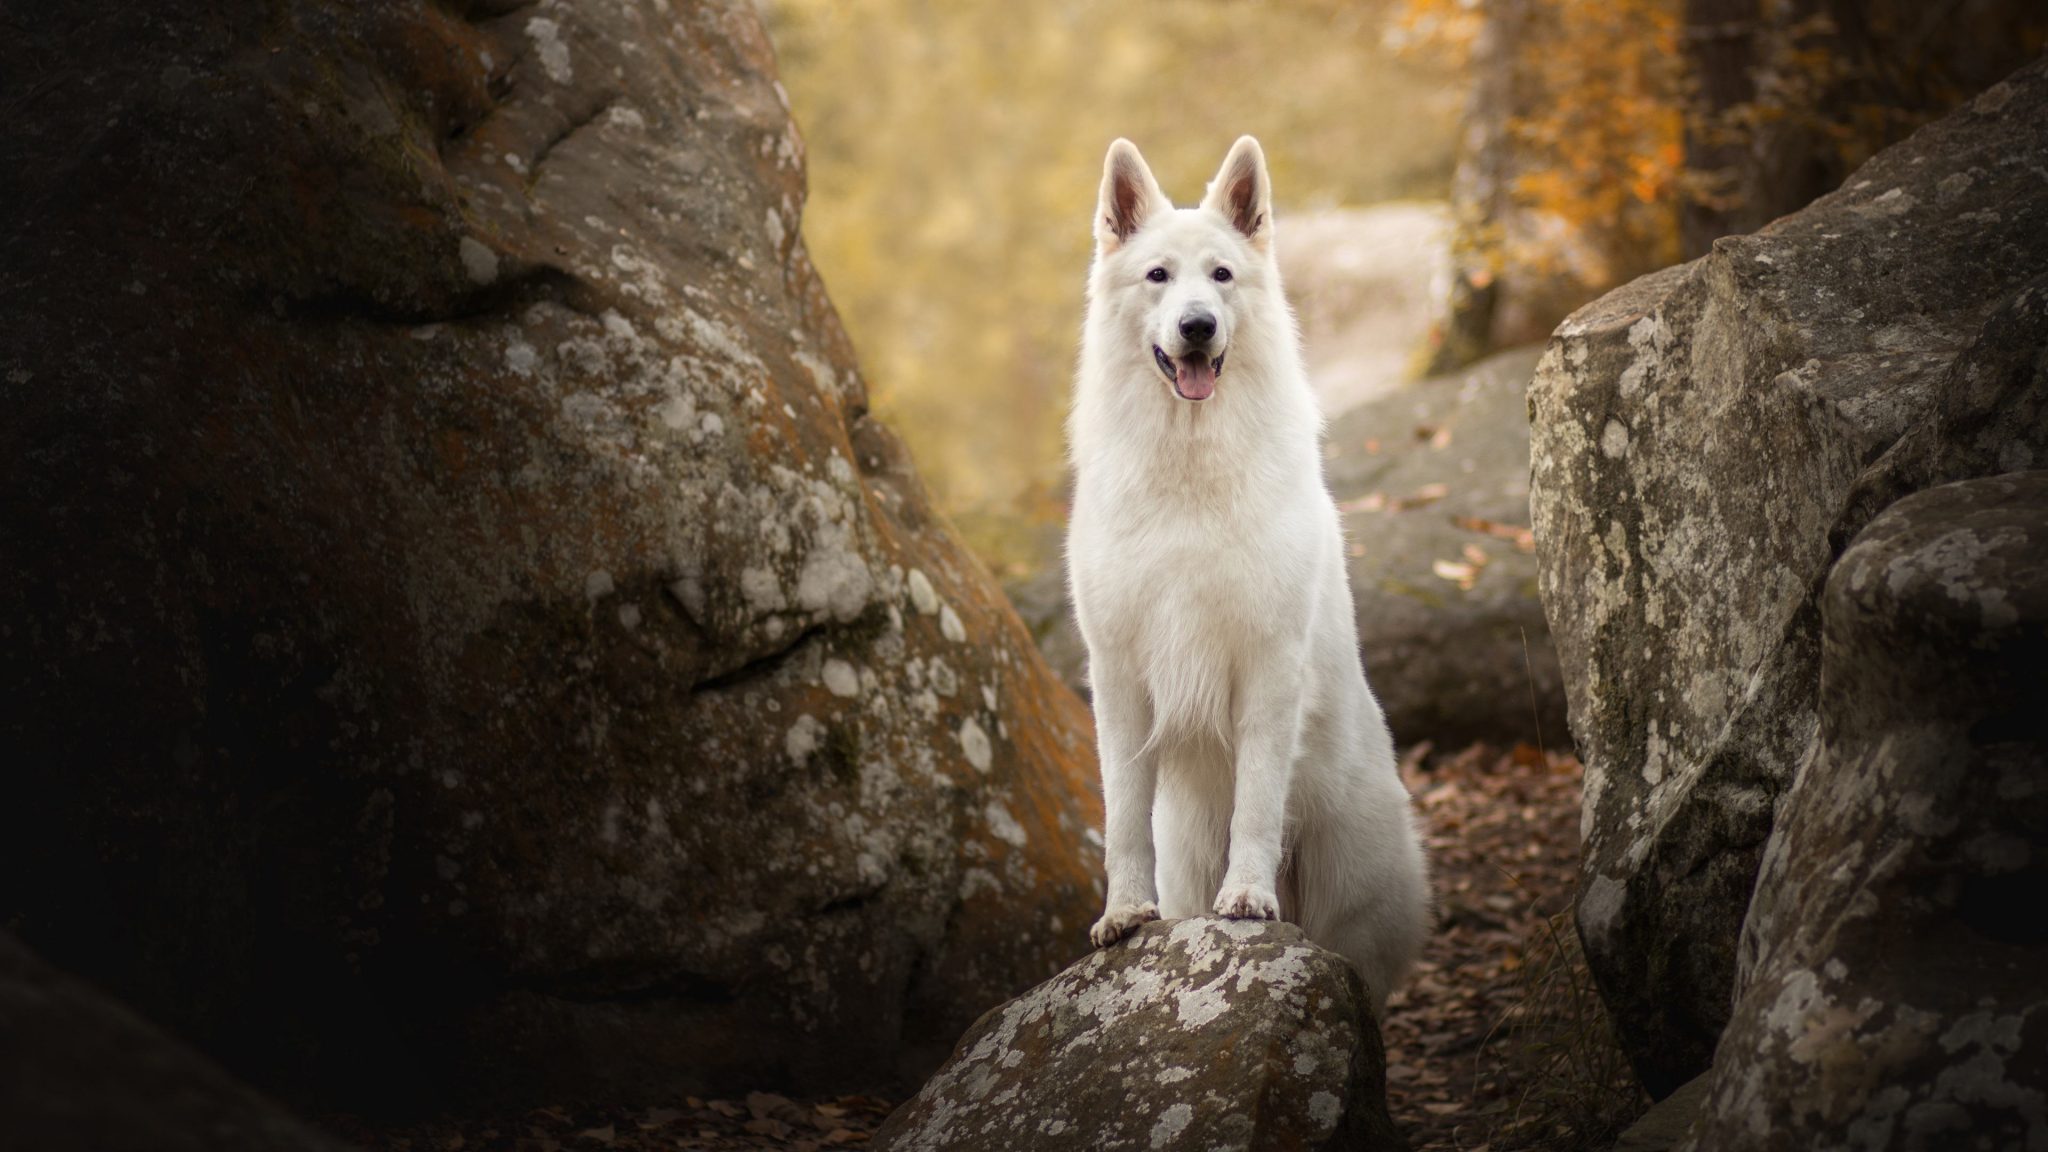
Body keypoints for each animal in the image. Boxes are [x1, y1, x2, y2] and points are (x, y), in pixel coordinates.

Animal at [1064, 139, 1433, 1008]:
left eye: (1222, 275)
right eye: (1159, 276)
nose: (1197, 326)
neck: (1188, 467)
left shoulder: (1267, 670)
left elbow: (1257, 805)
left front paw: (1249, 898)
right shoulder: (1119, 678)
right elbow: (1122, 817)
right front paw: (1123, 913)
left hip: (1349, 901)